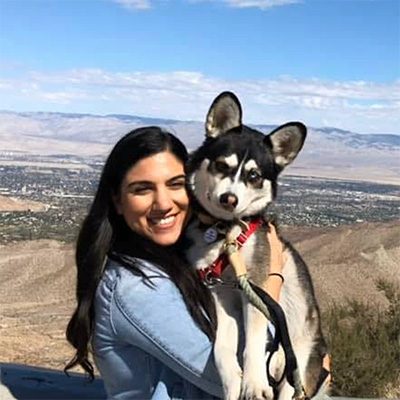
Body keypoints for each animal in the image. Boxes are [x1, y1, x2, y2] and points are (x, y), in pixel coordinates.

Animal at [184, 92, 328, 398]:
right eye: (221, 165)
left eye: (254, 176)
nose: (229, 199)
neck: (225, 234)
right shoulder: (220, 293)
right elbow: (222, 346)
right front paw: (232, 382)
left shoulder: (257, 286)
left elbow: (254, 338)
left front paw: (254, 382)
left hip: (298, 366)